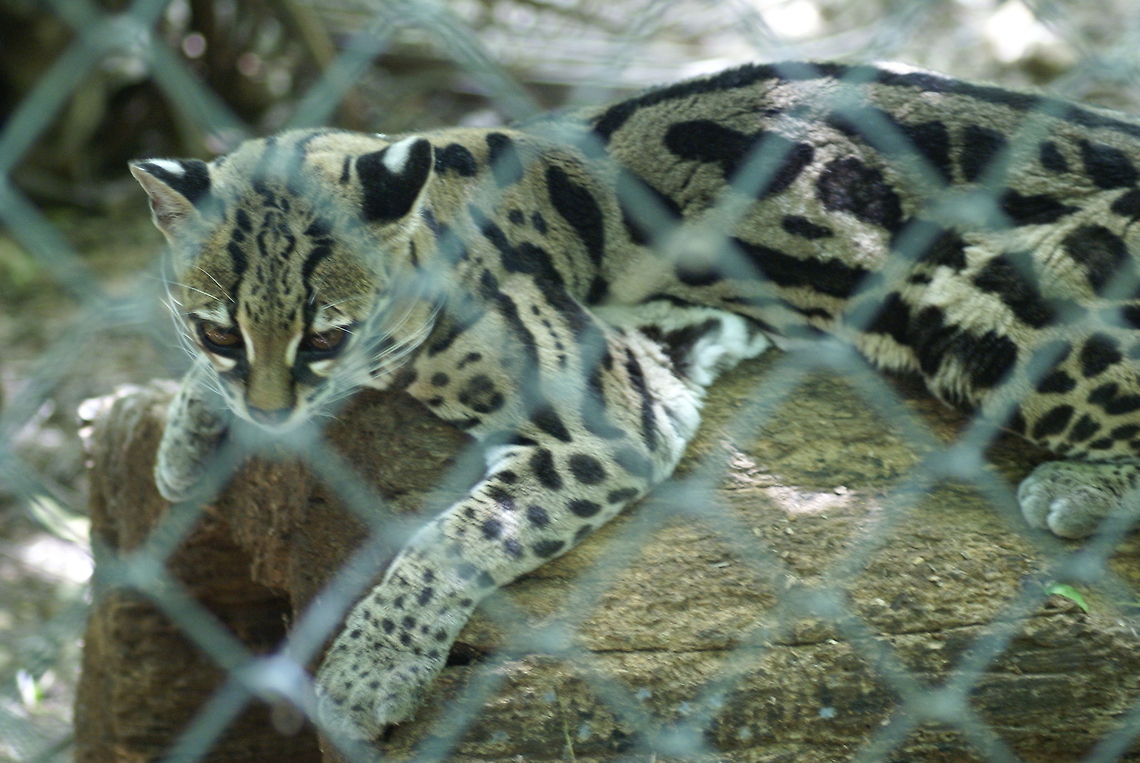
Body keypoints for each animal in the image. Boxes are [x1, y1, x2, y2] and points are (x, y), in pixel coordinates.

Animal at [129, 61, 1140, 742]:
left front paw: (370, 665)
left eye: (324, 336)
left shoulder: (612, 411)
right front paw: (189, 429)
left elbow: (453, 536)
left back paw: (1080, 487)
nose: (267, 416)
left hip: (992, 300)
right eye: (219, 331)